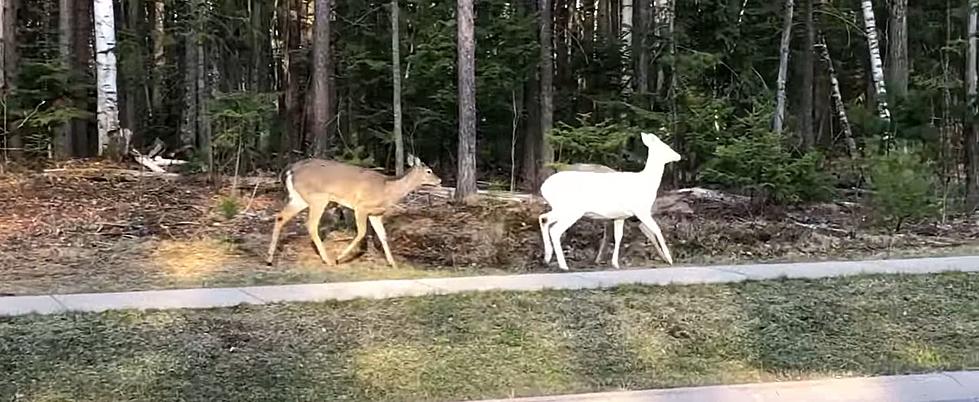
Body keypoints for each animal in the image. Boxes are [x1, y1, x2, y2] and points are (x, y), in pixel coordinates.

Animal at [264, 155, 440, 268]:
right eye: (429, 171)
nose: (440, 180)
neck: (387, 190)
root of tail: (290, 169)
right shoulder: (361, 207)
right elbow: (361, 233)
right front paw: (340, 258)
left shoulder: (376, 214)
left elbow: (383, 236)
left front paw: (393, 263)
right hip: (318, 198)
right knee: (311, 225)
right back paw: (328, 260)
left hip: (299, 198)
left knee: (280, 217)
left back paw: (269, 259)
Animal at [536, 132, 680, 270]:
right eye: (666, 147)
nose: (678, 156)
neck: (648, 183)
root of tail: (544, 187)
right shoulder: (641, 210)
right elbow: (657, 229)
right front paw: (670, 259)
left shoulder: (621, 216)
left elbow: (618, 236)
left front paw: (615, 263)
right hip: (571, 209)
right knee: (555, 230)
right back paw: (563, 265)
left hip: (561, 208)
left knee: (544, 218)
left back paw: (547, 258)